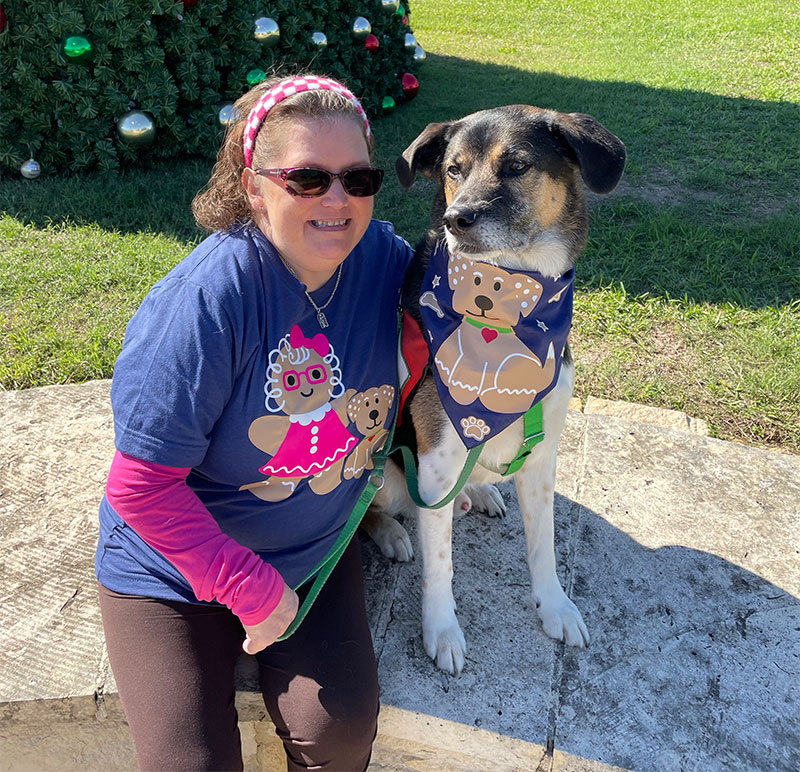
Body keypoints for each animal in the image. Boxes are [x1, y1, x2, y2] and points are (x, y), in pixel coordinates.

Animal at [366, 105, 628, 672]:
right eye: (453, 169)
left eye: (517, 165)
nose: (456, 219)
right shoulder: (436, 464)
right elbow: (440, 567)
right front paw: (442, 631)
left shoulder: (543, 456)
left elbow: (544, 546)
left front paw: (554, 607)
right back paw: (395, 532)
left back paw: (480, 491)